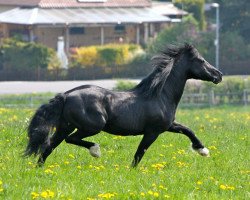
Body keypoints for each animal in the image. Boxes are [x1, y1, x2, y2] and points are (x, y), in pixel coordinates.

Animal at [24, 44, 222, 167]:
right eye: (201, 60)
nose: (218, 75)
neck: (160, 95)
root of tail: (65, 95)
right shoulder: (153, 132)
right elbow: (139, 153)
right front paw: (131, 171)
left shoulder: (168, 125)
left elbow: (188, 130)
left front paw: (203, 150)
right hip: (92, 126)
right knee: (70, 140)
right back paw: (95, 151)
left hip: (65, 126)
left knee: (49, 146)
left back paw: (39, 169)